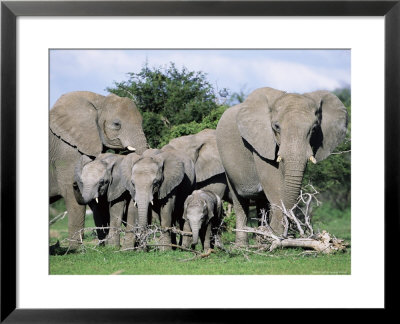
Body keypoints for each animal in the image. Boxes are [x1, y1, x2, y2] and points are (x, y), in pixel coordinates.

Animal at [49, 91, 148, 248]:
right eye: (116, 124)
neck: (99, 100)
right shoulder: (67, 152)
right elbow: (72, 194)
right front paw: (75, 250)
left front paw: (104, 245)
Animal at [216, 87, 346, 244]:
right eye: (276, 127)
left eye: (314, 129)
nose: (288, 233)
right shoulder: (261, 141)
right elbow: (273, 181)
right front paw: (276, 236)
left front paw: (277, 236)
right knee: (240, 202)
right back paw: (243, 245)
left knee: (261, 202)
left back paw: (261, 237)